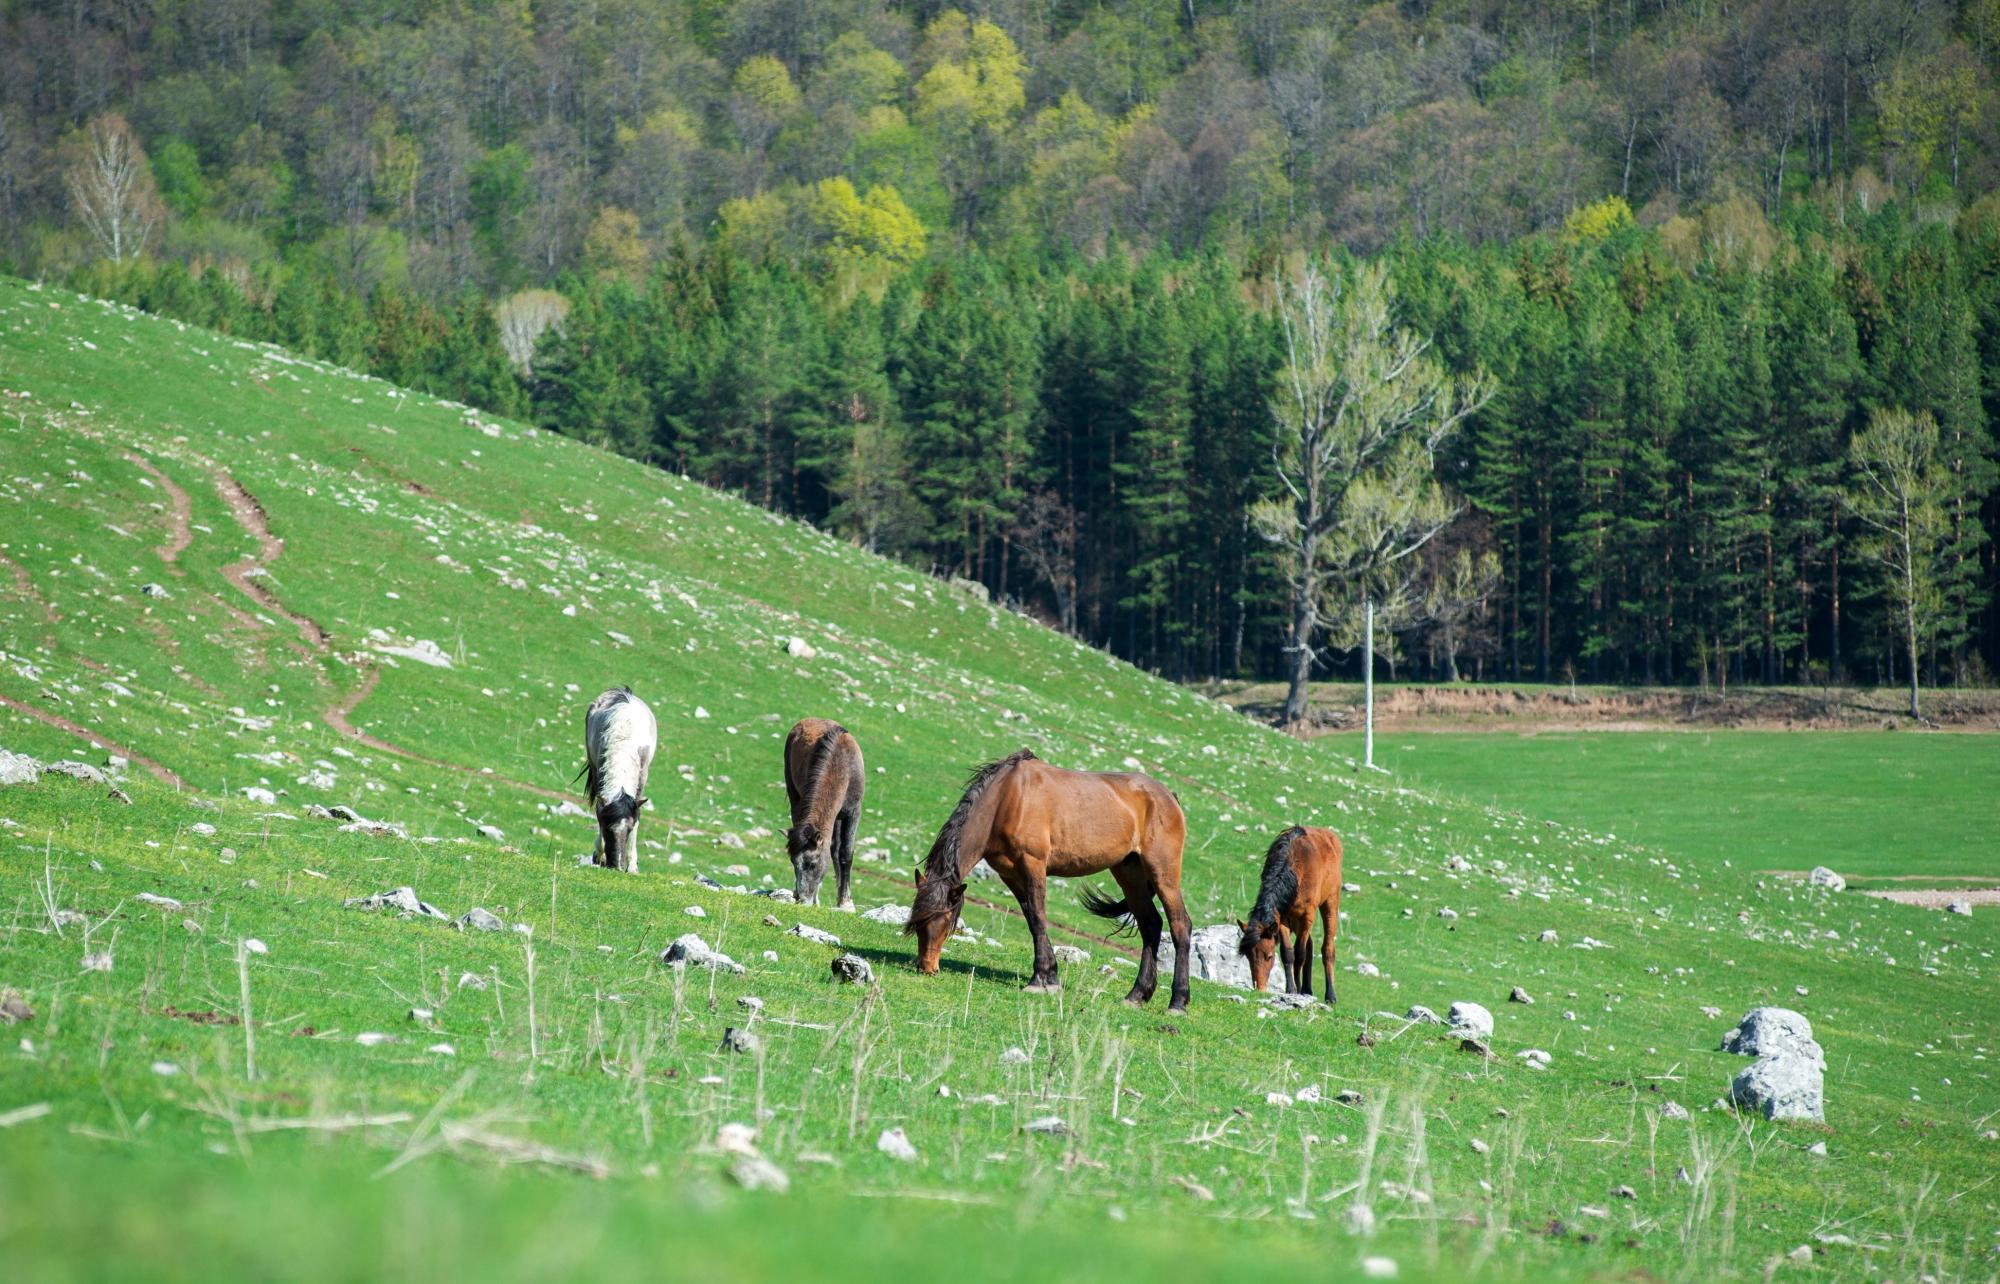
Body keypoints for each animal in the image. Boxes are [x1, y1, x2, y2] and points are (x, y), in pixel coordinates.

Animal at [580, 680, 656, 872]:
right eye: (606, 827)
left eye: (628, 830)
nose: (616, 866)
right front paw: (599, 856)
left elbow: (638, 816)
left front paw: (633, 867)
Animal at [784, 716, 864, 904]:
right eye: (793, 862)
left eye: (812, 864)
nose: (802, 898)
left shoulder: (853, 812)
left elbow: (846, 853)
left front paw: (846, 902)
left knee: (836, 850)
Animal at [908, 744, 1184, 1004]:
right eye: (918, 921)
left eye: (945, 920)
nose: (927, 967)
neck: (1007, 799)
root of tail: (1169, 797)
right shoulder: (1010, 874)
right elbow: (1031, 919)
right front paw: (1050, 977)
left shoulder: (1034, 865)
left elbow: (1039, 917)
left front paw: (1038, 981)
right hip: (1129, 873)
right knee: (1151, 925)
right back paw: (1137, 995)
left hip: (1163, 873)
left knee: (1180, 925)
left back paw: (1178, 1002)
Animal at [1232, 820, 1344, 1000]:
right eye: (1248, 956)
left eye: (1269, 956)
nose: (1259, 988)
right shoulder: (1282, 919)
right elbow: (1288, 953)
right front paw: (1292, 988)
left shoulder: (1307, 916)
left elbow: (1300, 954)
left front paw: (1296, 988)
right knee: (1310, 946)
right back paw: (1307, 989)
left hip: (1330, 903)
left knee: (1327, 949)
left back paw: (1330, 996)